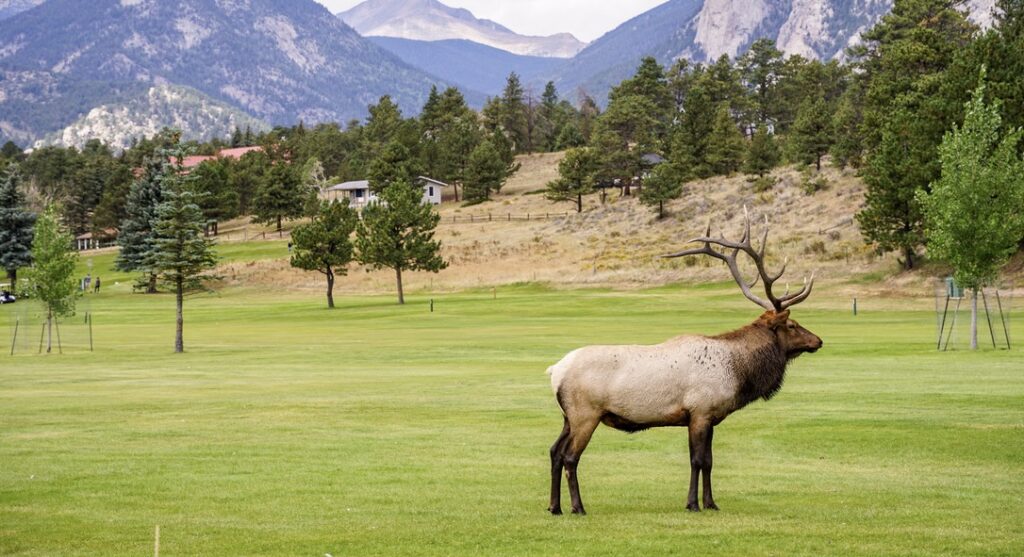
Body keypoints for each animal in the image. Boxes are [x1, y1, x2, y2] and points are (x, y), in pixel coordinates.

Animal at [546, 210, 822, 515]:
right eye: (793, 325)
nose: (818, 340)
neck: (737, 371)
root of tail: (554, 372)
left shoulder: (710, 417)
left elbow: (710, 461)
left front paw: (711, 503)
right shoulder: (699, 411)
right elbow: (697, 461)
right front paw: (693, 503)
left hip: (567, 416)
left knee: (554, 452)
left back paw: (554, 506)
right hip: (586, 413)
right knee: (570, 457)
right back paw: (578, 507)